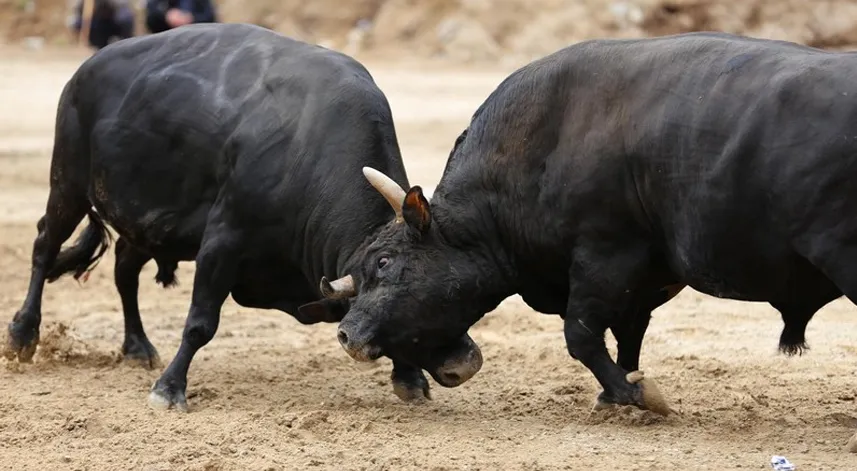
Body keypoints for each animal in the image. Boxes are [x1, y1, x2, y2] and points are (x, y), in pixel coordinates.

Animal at [3, 24, 482, 412]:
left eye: (462, 296)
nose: (466, 363)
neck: (307, 147)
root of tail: (86, 68)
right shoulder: (222, 242)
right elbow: (200, 323)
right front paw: (169, 389)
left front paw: (409, 378)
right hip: (67, 182)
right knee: (45, 246)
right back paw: (23, 335)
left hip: (145, 222)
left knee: (124, 269)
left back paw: (137, 346)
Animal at [326, 33, 857, 450]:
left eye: (385, 262)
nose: (347, 335)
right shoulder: (643, 277)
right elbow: (628, 334)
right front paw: (617, 392)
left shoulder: (605, 255)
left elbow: (580, 336)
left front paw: (637, 395)